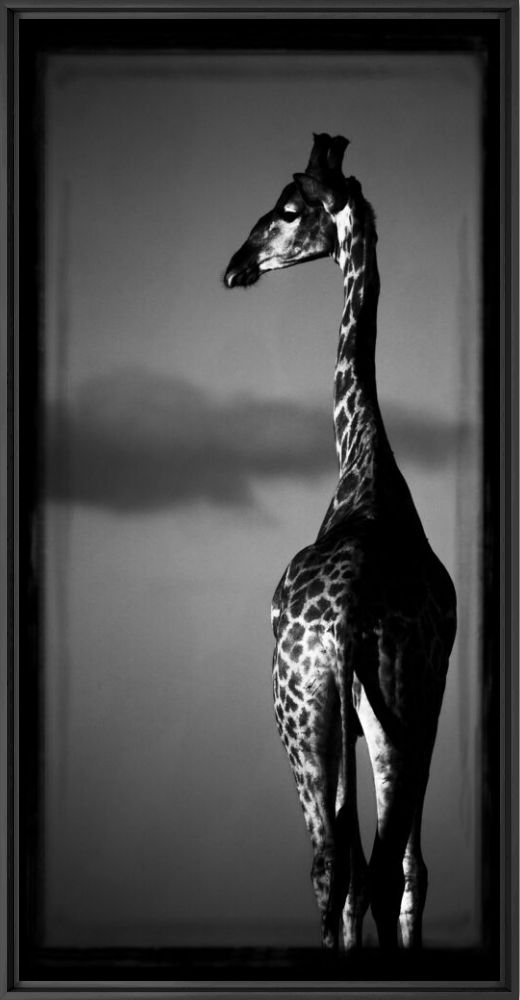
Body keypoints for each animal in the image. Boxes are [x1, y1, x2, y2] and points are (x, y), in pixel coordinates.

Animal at [223, 134, 457, 952]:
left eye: (290, 210)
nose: (236, 265)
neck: (365, 467)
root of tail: (349, 619)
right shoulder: (421, 704)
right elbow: (404, 871)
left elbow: (382, 871)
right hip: (379, 708)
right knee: (369, 869)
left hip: (305, 712)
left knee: (342, 867)